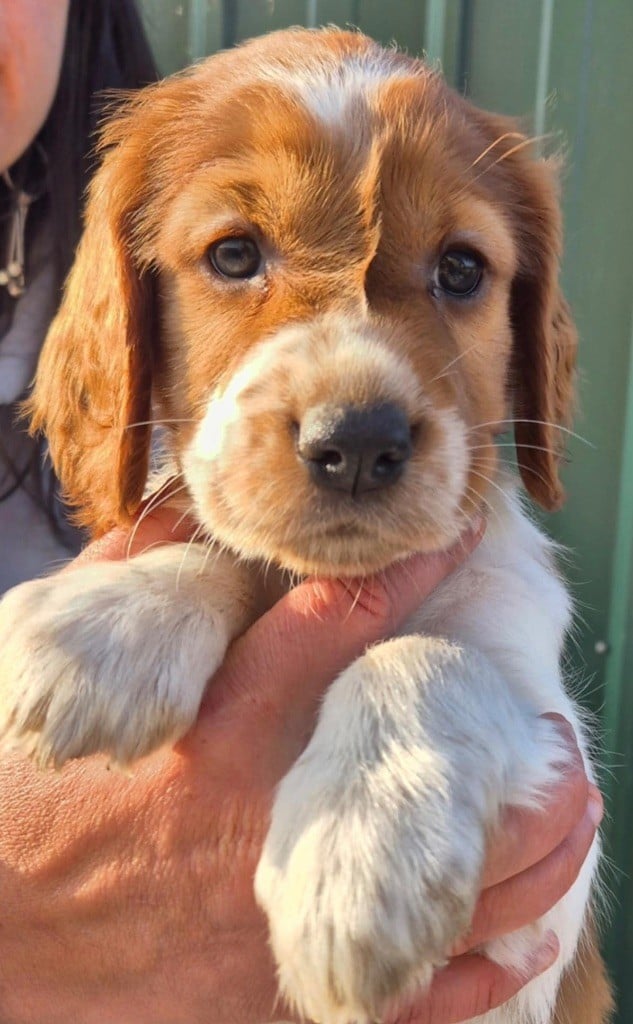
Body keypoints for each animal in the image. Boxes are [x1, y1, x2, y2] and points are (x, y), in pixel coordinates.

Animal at [0, 27, 613, 1024]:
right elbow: (221, 541)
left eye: (460, 270)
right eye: (234, 255)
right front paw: (102, 631)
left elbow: (425, 653)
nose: (357, 441)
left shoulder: (552, 855)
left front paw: (361, 858)